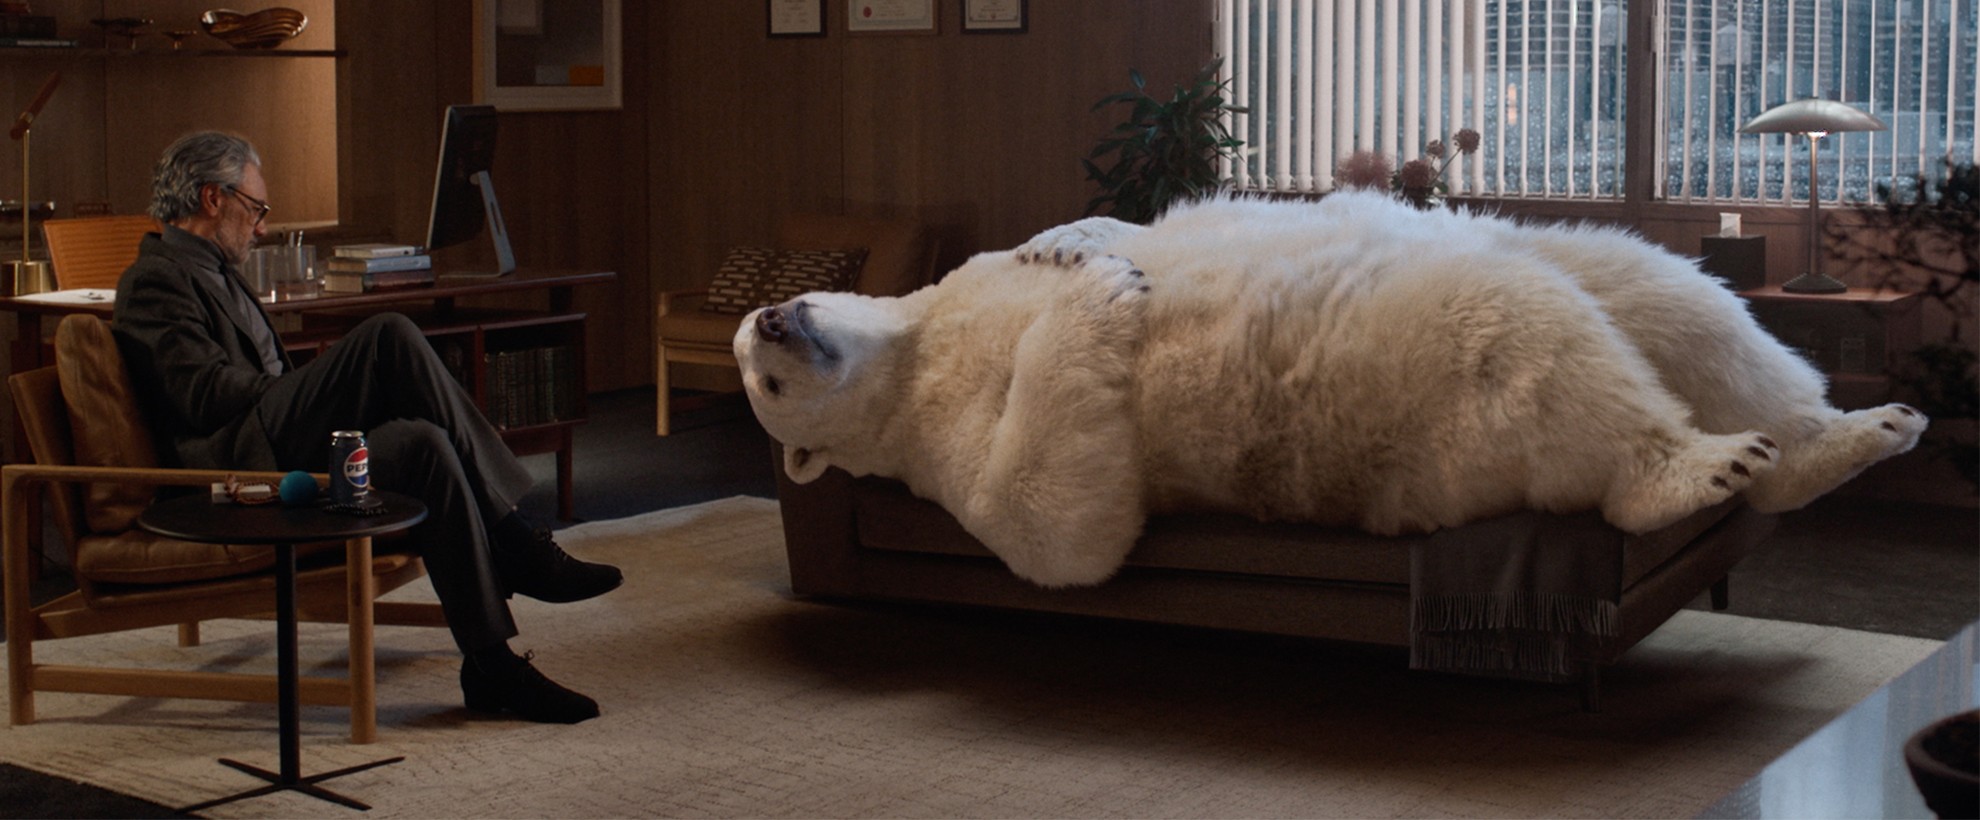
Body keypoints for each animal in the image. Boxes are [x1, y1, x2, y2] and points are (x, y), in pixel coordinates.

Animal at [733, 192, 1927, 588]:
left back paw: (1855, 430)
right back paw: (1696, 465)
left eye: (761, 341)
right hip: (1407, 399)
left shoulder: (964, 284)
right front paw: (1110, 291)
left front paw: (1080, 250)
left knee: (1659, 290)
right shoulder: (934, 443)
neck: (914, 346)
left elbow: (1061, 235)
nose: (777, 320)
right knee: (1516, 324)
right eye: (763, 378)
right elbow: (1055, 526)